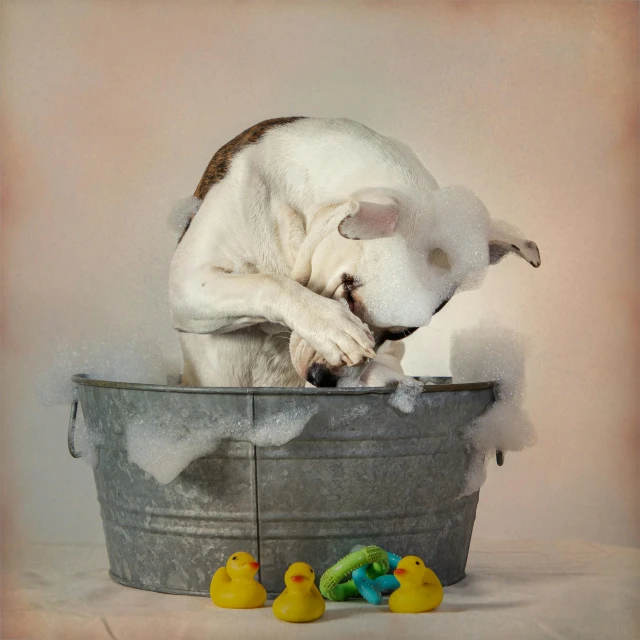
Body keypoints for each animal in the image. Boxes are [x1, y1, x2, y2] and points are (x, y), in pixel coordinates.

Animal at [170, 117, 540, 388]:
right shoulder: (187, 285)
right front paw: (332, 326)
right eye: (348, 287)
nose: (323, 378)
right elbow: (268, 283)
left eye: (400, 333)